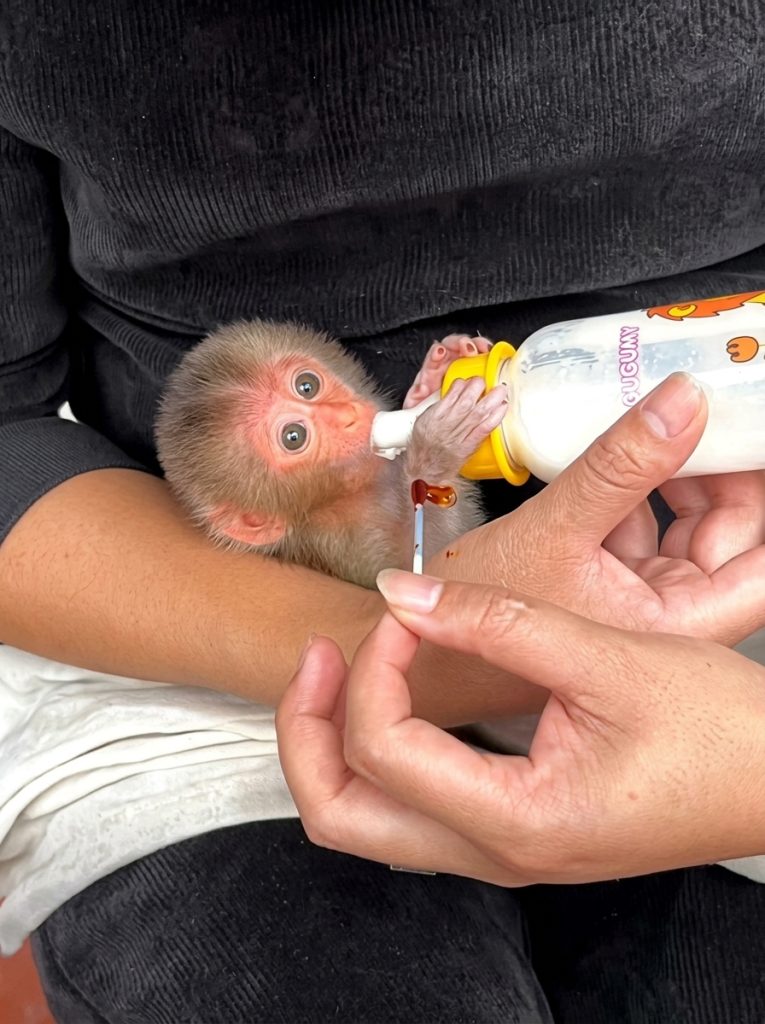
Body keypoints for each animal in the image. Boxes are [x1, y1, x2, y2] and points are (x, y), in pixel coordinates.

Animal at [155, 320, 508, 589]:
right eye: (293, 437)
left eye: (306, 386)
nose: (346, 416)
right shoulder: (344, 541)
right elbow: (414, 569)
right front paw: (434, 451)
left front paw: (434, 377)